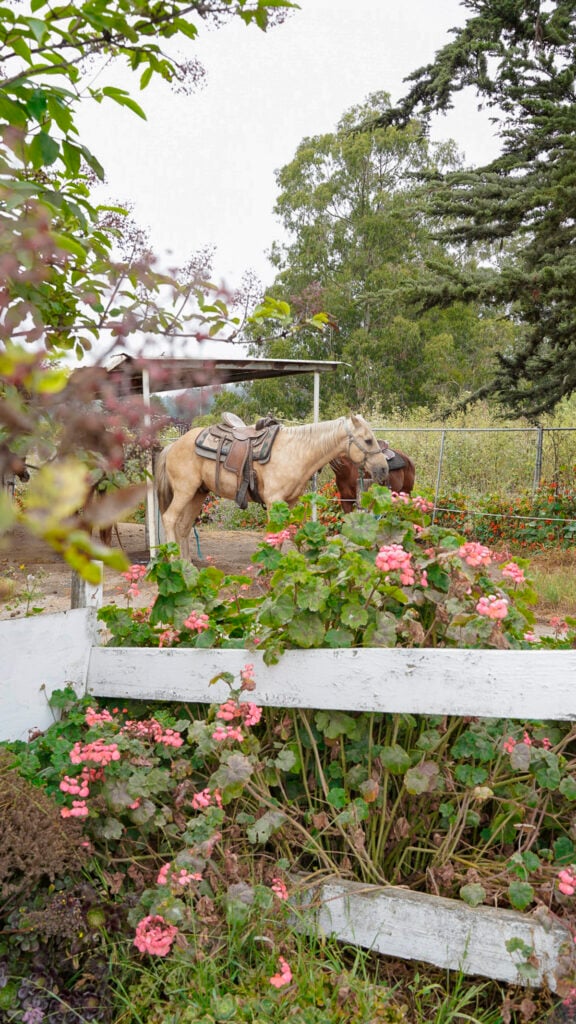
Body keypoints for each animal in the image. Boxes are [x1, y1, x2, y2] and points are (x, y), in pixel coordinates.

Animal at [155, 414, 389, 560]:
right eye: (368, 440)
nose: (384, 469)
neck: (296, 451)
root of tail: (172, 446)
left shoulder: (290, 503)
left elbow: (289, 534)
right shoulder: (273, 501)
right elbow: (273, 536)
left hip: (198, 493)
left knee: (183, 527)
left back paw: (187, 565)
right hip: (185, 491)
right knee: (169, 519)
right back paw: (175, 561)